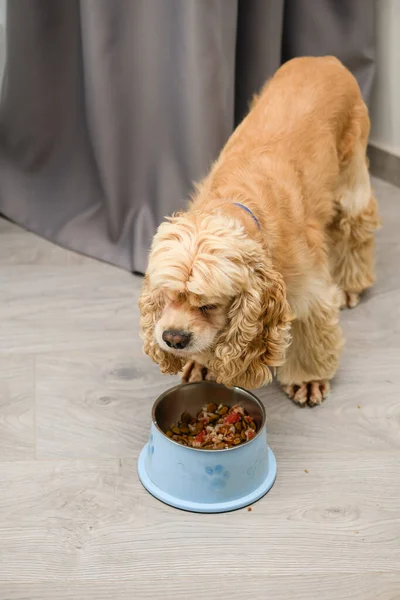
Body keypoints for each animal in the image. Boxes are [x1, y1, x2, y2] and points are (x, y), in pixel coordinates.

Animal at [139, 56, 380, 406]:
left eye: (209, 305)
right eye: (167, 295)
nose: (173, 338)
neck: (238, 204)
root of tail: (326, 59)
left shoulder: (308, 292)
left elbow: (311, 330)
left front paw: (309, 380)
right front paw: (201, 364)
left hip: (351, 176)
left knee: (355, 224)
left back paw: (351, 285)